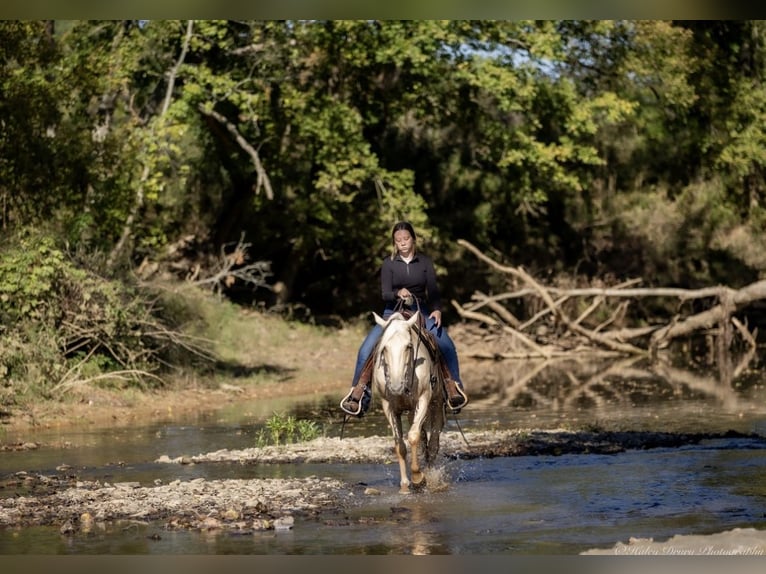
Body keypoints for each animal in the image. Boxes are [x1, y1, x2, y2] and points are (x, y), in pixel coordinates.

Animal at [370, 310, 446, 493]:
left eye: (409, 346)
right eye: (384, 348)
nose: (396, 386)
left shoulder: (424, 399)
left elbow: (413, 436)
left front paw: (418, 477)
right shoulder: (389, 407)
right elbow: (400, 445)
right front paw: (405, 484)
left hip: (437, 402)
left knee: (433, 442)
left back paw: (431, 474)